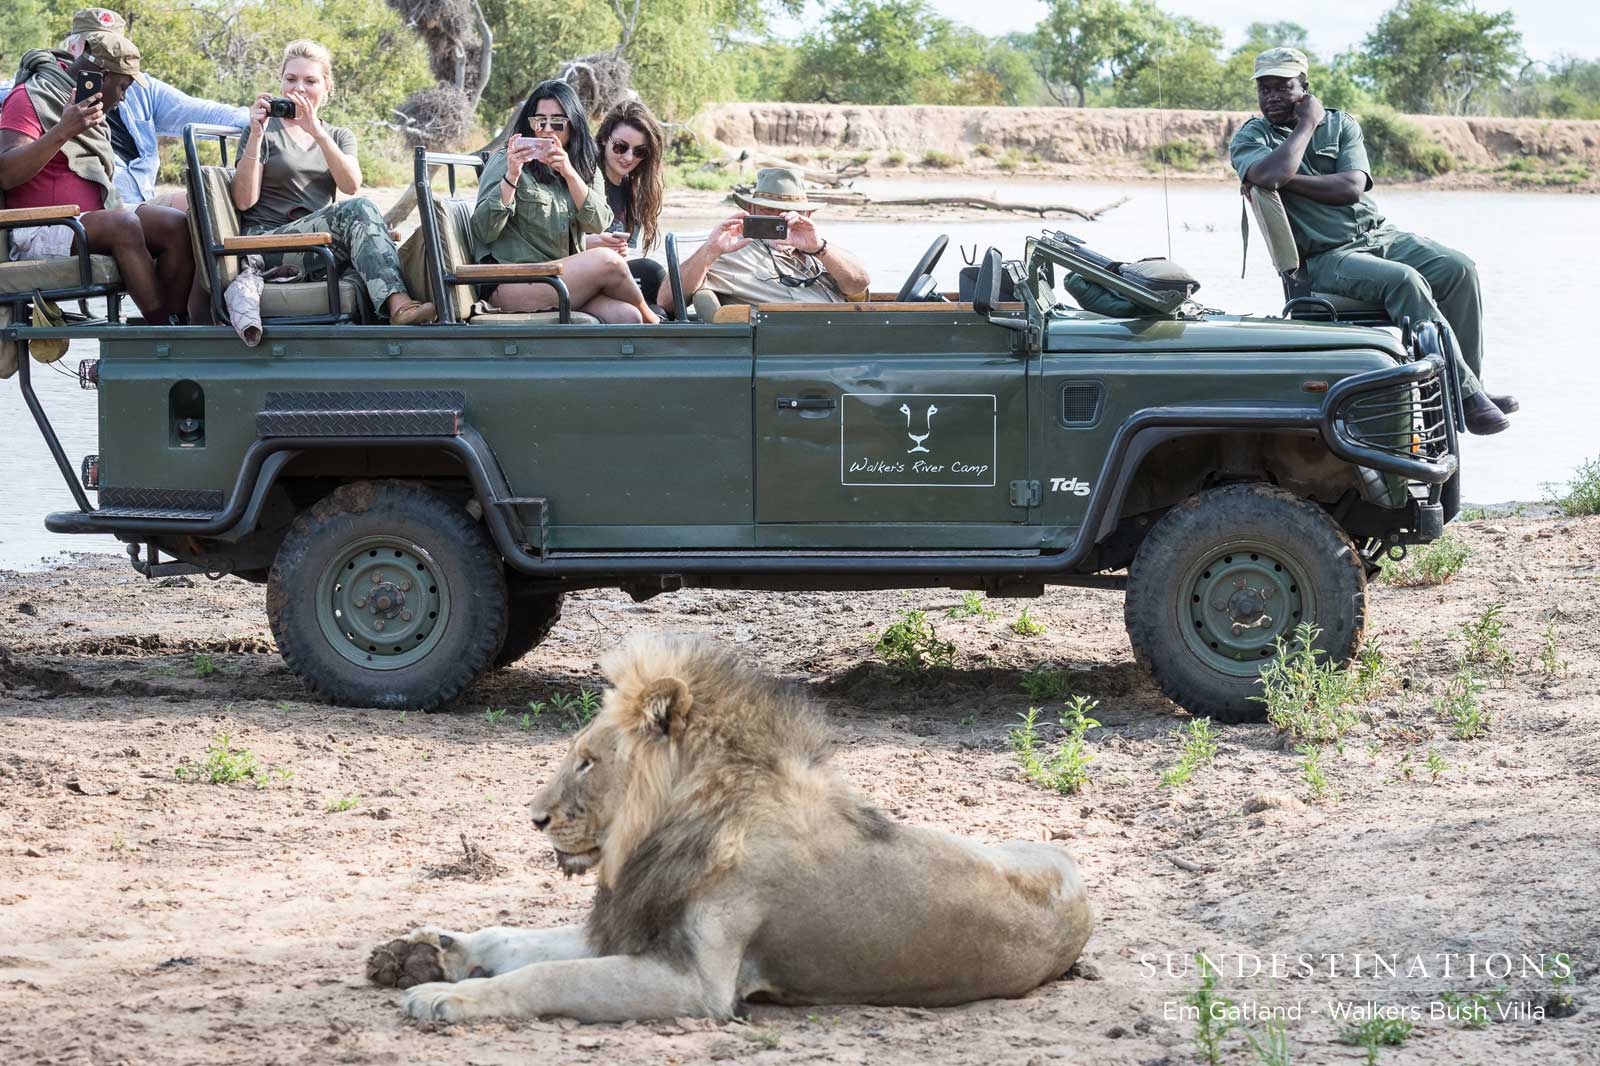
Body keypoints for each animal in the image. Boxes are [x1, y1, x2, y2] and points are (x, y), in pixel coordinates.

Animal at [367, 635, 1093, 1023]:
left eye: (587, 761)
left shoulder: (699, 984)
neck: (673, 825)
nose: (534, 817)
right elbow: (516, 940)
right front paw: (429, 951)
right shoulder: (635, 927)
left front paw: (442, 996)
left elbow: (545, 976)